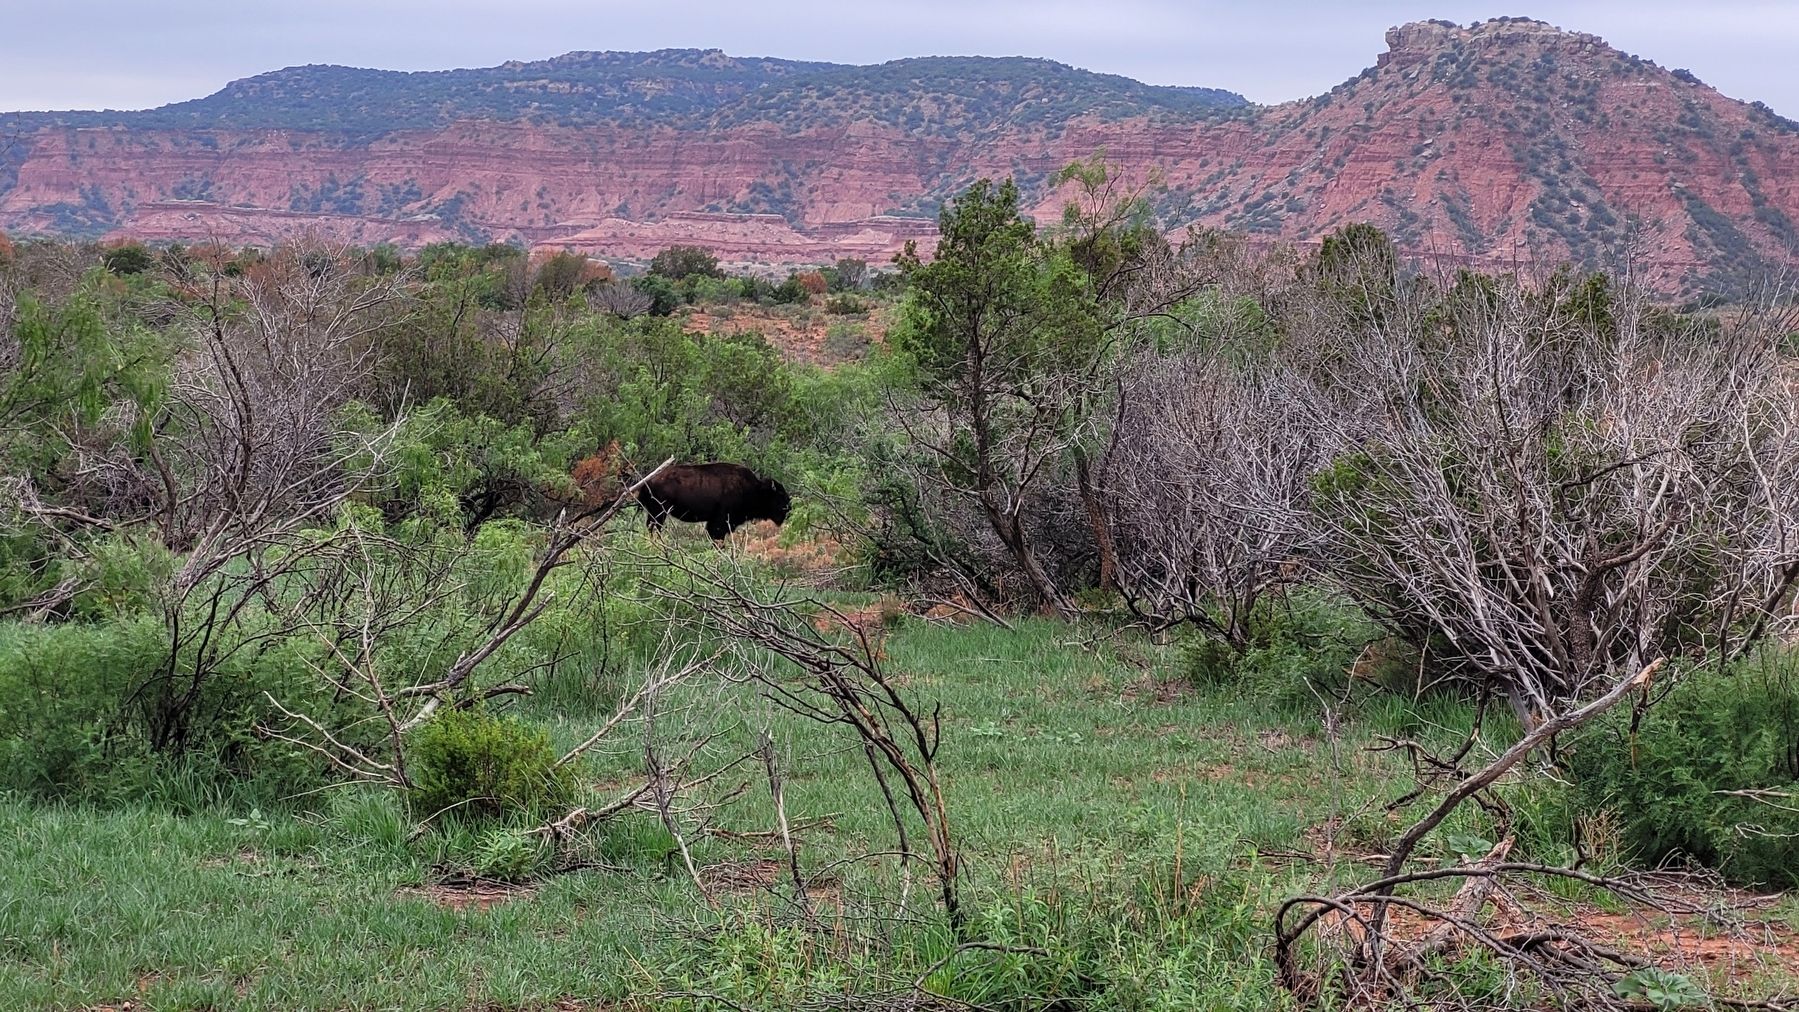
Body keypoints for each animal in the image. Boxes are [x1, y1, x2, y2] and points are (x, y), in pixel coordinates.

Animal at [637, 462, 791, 541]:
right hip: (659, 514)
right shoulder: (720, 522)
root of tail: (647, 481)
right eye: (779, 495)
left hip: (654, 513)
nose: (788, 508)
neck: (754, 489)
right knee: (655, 528)